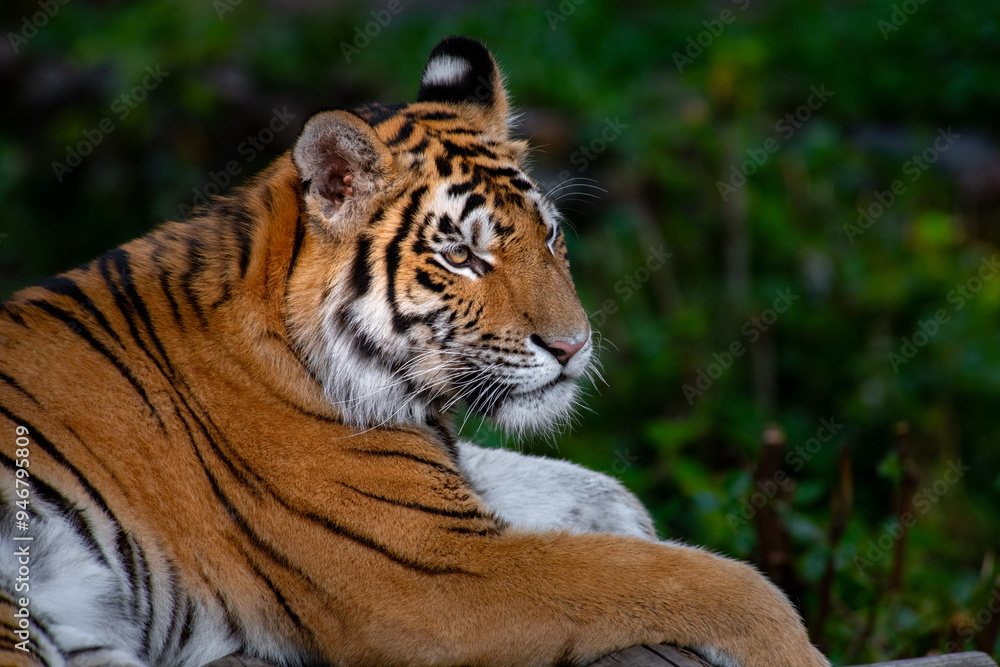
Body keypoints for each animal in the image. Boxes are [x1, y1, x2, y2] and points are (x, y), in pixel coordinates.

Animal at [0, 36, 829, 667]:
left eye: (550, 236)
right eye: (462, 255)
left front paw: (626, 516)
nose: (574, 344)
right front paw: (796, 649)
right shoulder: (433, 571)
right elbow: (708, 580)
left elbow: (594, 493)